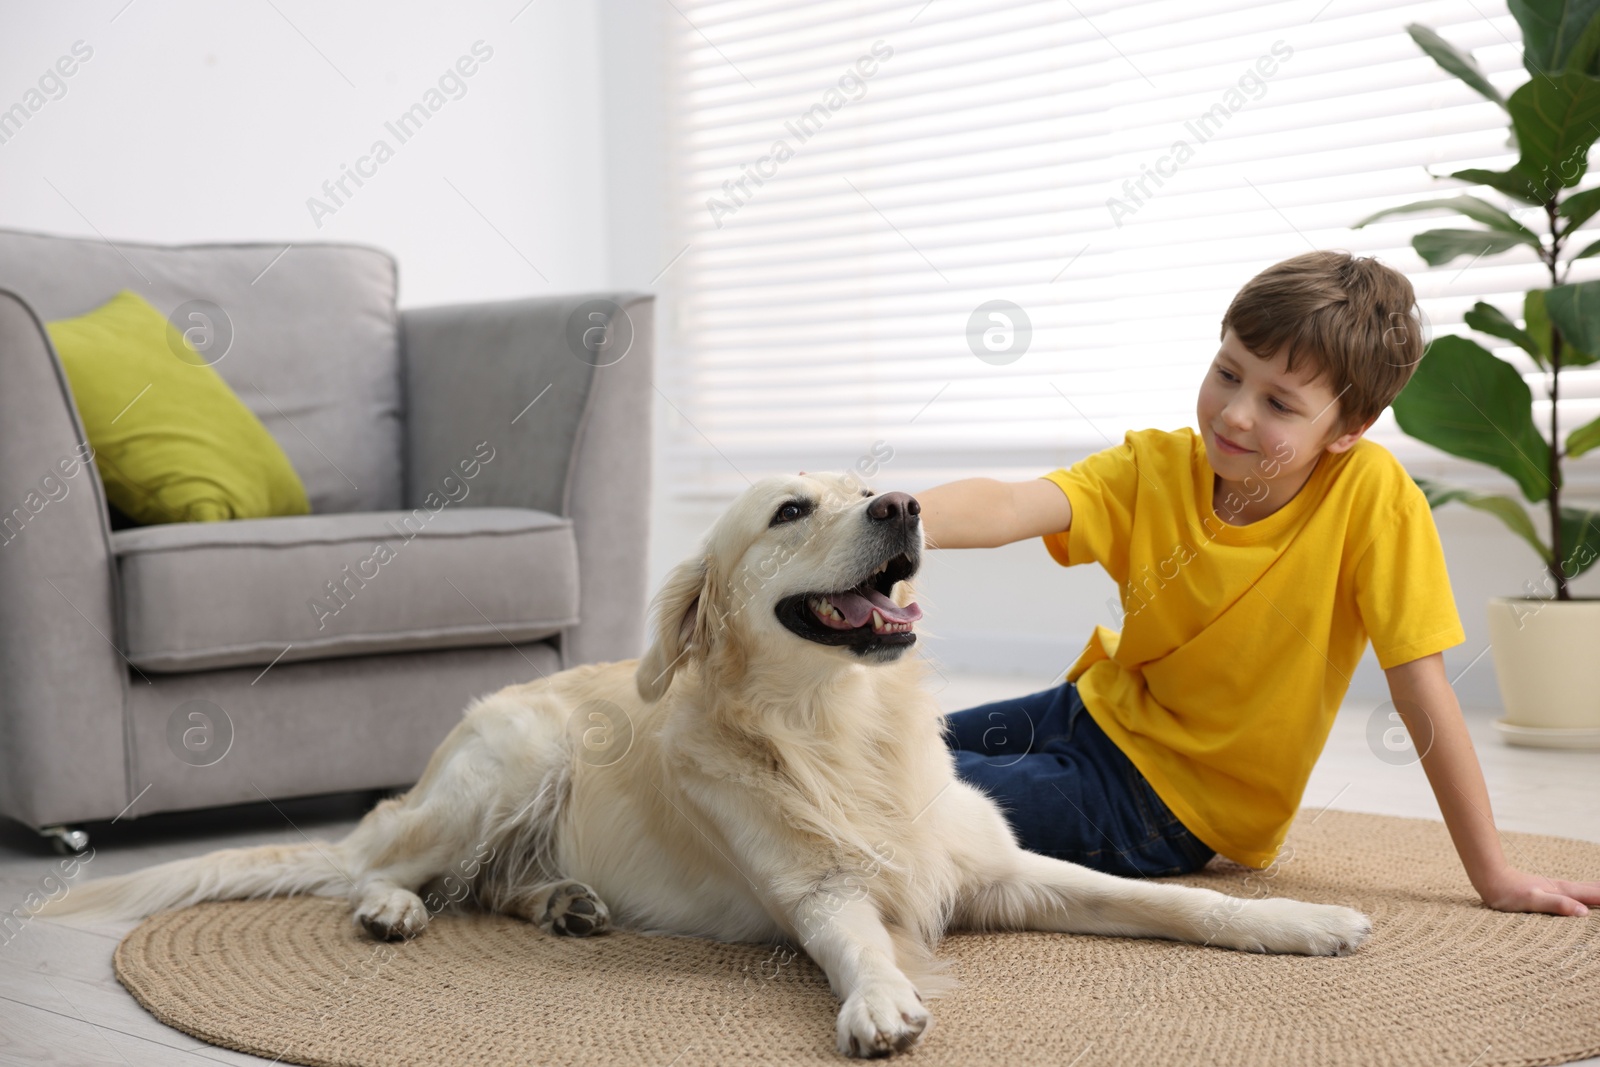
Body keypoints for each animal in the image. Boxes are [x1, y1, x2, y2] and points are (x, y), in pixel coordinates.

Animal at [43, 473, 1369, 1062]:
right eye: (789, 509)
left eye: (869, 483)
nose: (904, 503)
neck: (839, 723)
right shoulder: (819, 891)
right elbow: (862, 939)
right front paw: (879, 998)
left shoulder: (1003, 870)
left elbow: (1179, 902)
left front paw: (1300, 922)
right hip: (509, 758)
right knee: (379, 858)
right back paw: (389, 905)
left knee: (491, 881)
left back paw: (563, 901)